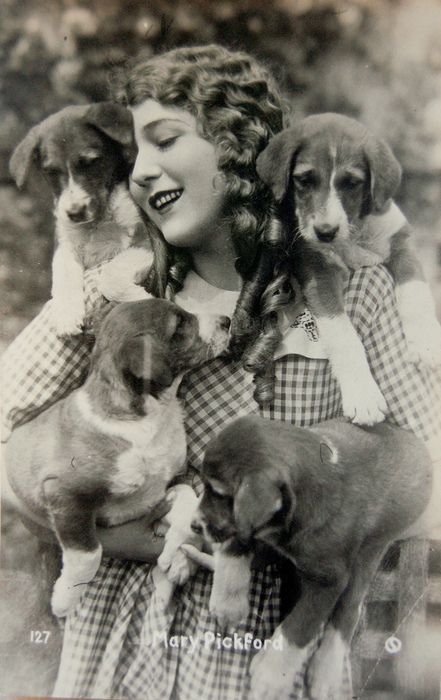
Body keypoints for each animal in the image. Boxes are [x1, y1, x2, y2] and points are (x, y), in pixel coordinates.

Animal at [4, 298, 230, 617]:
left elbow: (188, 496)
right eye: (180, 325)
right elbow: (89, 553)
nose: (227, 321)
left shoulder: (157, 490)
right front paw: (65, 599)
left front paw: (178, 556)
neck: (147, 418)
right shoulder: (65, 494)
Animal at [9, 103, 153, 336]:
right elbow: (63, 274)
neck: (97, 222)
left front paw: (138, 299)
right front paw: (67, 314)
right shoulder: (65, 244)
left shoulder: (146, 240)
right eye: (51, 172)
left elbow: (110, 274)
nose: (75, 213)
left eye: (90, 162)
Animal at [193, 415, 432, 700]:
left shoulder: (330, 581)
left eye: (219, 494)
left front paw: (271, 676)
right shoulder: (246, 525)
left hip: (369, 553)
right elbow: (237, 539)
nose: (194, 525)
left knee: (348, 612)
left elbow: (300, 625)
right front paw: (228, 603)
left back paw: (325, 671)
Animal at [256, 113, 441, 425]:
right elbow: (344, 335)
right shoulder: (319, 272)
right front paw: (363, 395)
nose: (325, 231)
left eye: (351, 183)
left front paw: (428, 342)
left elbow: (416, 293)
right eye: (304, 180)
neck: (353, 236)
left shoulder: (401, 244)